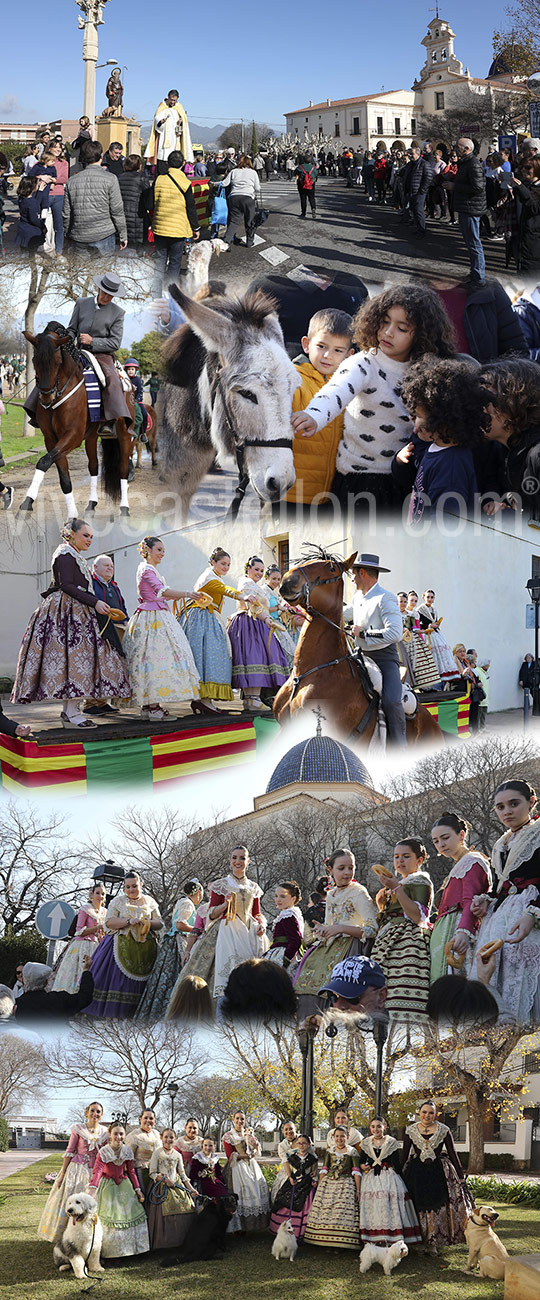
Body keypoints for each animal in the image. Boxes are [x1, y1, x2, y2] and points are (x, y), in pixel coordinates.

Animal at [20, 325, 135, 517]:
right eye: (35, 360)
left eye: (58, 362)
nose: (46, 397)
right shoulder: (51, 440)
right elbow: (63, 477)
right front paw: (71, 513)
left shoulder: (73, 436)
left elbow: (43, 461)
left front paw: (27, 502)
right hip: (91, 437)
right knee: (94, 466)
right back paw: (92, 504)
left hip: (124, 434)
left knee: (123, 469)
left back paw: (125, 508)